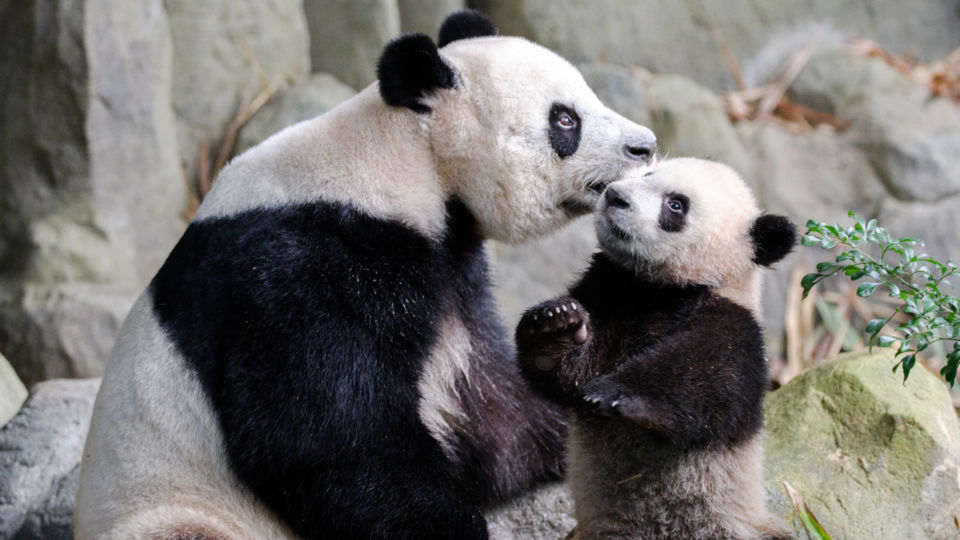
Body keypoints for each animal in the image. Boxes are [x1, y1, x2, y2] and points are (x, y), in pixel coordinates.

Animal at [77, 9, 660, 540]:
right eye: (564, 120)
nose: (646, 146)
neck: (400, 159)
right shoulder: (297, 270)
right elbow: (327, 435)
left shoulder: (449, 271)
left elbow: (489, 402)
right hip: (177, 507)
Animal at [516, 159, 796, 540]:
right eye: (647, 175)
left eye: (675, 205)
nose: (615, 196)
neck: (658, 288)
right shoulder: (612, 292)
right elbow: (568, 374)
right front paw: (555, 323)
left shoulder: (736, 328)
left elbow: (703, 380)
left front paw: (613, 394)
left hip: (732, 521)